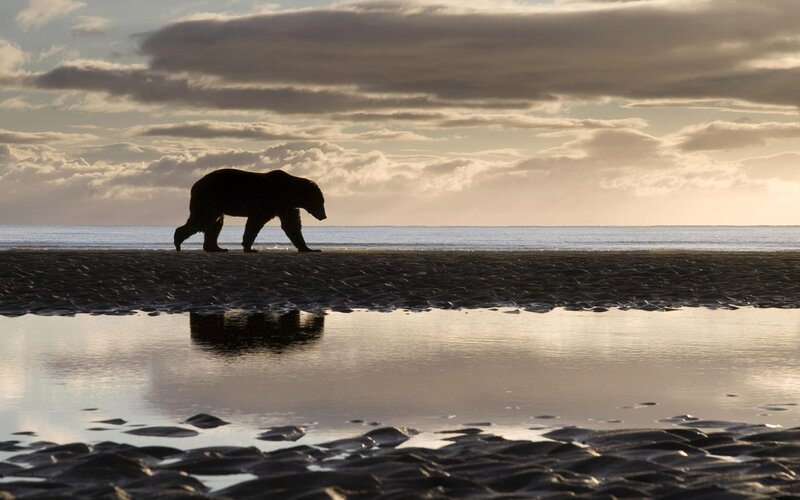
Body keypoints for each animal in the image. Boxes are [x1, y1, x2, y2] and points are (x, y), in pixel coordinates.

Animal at [174, 168, 326, 253]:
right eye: (320, 202)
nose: (324, 216)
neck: (290, 193)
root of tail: (194, 185)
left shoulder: (285, 206)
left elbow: (292, 225)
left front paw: (309, 248)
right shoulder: (270, 201)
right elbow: (256, 222)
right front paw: (250, 247)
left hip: (215, 203)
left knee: (215, 224)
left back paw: (217, 248)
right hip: (210, 198)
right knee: (203, 220)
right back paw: (178, 241)